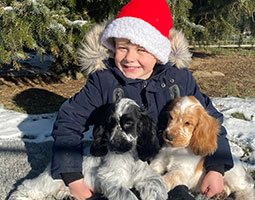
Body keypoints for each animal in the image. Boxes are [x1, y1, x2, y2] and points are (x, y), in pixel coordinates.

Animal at [10, 98, 168, 200]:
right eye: (109, 124)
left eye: (129, 123)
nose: (114, 145)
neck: (129, 157)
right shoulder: (112, 179)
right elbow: (128, 196)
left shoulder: (146, 175)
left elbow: (158, 183)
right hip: (50, 181)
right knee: (28, 186)